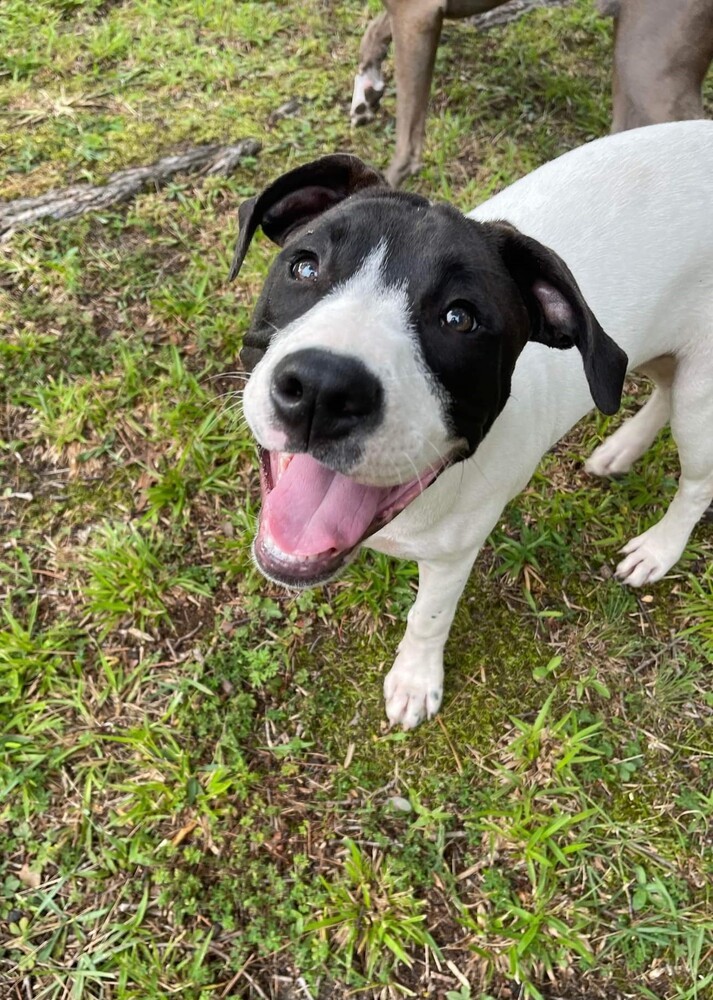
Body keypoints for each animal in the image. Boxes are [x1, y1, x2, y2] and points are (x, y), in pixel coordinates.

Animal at [231, 121, 712, 732]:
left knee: (697, 482)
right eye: (304, 266)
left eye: (460, 318)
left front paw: (415, 681)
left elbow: (428, 616)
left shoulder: (454, 554)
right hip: (643, 350)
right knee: (657, 385)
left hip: (701, 400)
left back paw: (658, 549)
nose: (323, 387)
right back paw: (621, 448)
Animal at [350, 0, 712, 186]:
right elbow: (374, 31)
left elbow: (406, 143)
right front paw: (366, 91)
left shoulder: (418, 13)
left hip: (648, 72)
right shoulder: (410, 14)